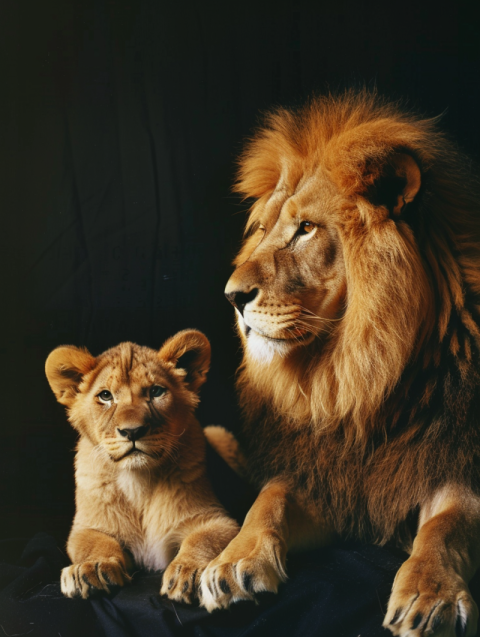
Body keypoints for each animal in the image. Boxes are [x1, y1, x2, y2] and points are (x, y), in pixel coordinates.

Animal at [201, 90, 480, 636]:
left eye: (306, 229)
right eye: (263, 230)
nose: (231, 297)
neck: (359, 381)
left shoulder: (455, 462)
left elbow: (447, 527)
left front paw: (430, 596)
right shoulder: (326, 477)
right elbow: (268, 500)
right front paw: (231, 561)